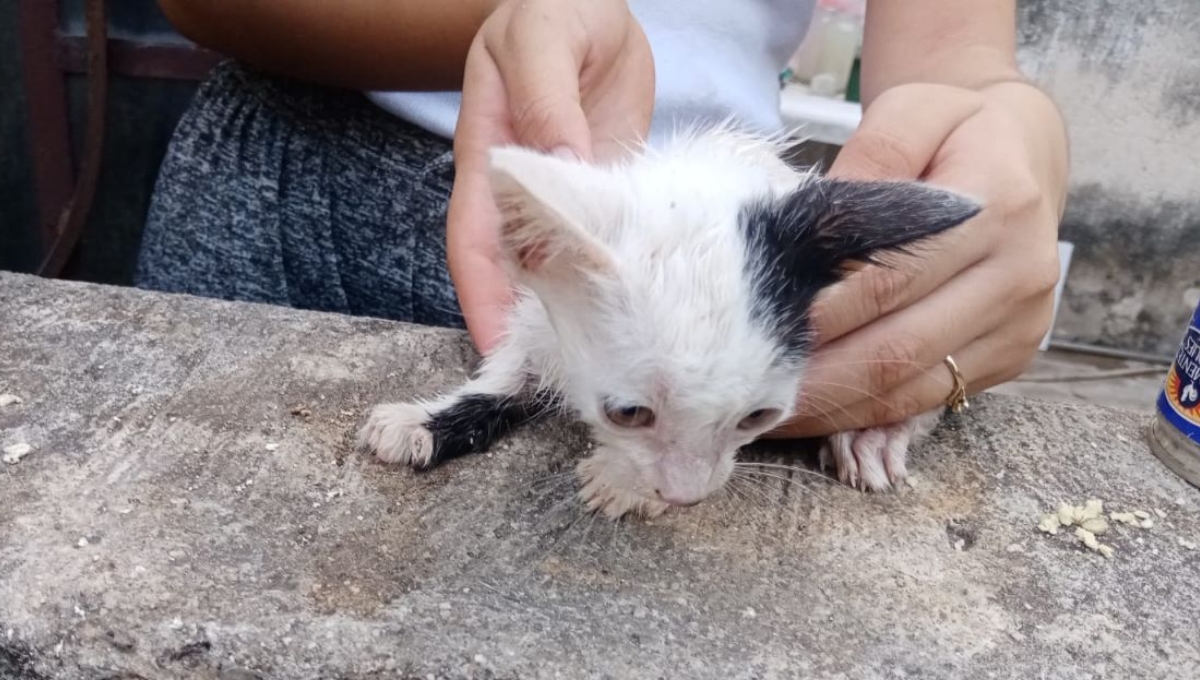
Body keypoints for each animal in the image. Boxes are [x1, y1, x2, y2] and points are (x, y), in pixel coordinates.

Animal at [352, 122, 974, 518]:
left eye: (758, 418)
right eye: (629, 413)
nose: (686, 498)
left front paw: (621, 484)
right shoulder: (540, 314)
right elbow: (512, 370)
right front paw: (427, 421)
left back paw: (875, 435)